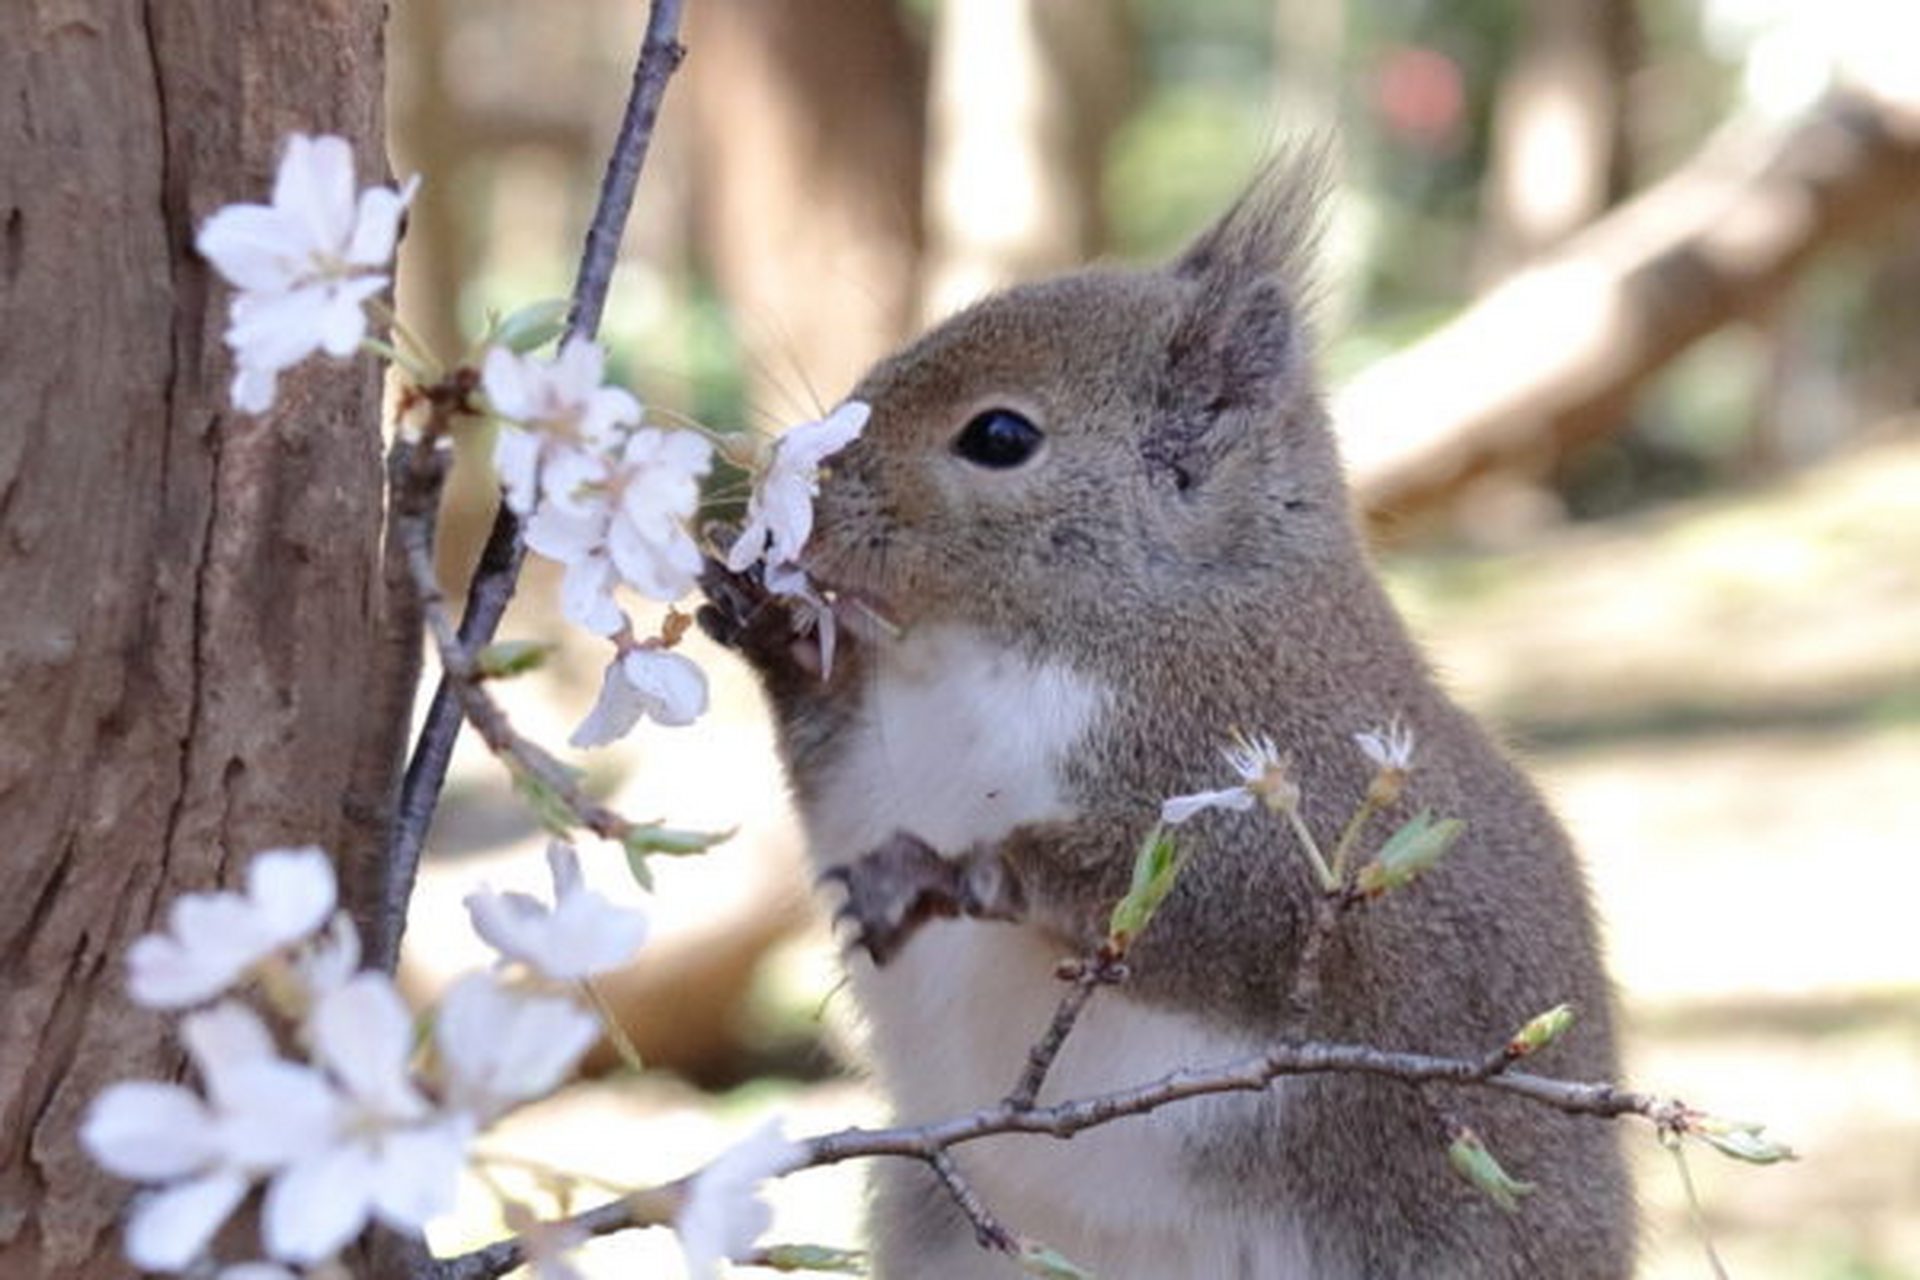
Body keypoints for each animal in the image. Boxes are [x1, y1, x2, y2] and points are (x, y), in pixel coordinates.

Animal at [702, 163, 1635, 1280]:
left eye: (1000, 437)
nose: (801, 488)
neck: (995, 647)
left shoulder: (1282, 783)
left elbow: (1213, 906)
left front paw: (957, 870)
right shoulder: (877, 756)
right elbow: (832, 786)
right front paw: (767, 622)